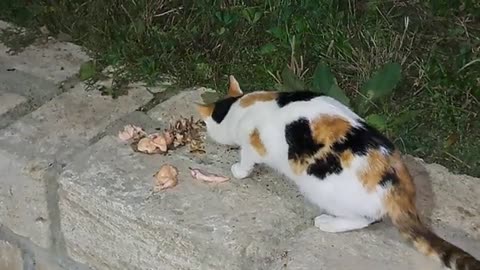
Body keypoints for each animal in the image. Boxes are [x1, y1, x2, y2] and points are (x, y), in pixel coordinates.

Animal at [195, 75, 480, 268]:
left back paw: (327, 223)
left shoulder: (254, 144)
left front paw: (238, 170)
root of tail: (399, 189)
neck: (243, 107)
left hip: (319, 188)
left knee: (362, 220)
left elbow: (247, 159)